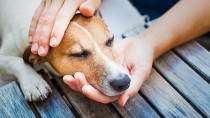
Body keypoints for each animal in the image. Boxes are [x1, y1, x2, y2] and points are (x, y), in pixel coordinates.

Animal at [0, 0, 130, 101]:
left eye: (110, 40)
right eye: (79, 54)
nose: (123, 82)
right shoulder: (3, 57)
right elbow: (17, 62)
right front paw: (34, 83)